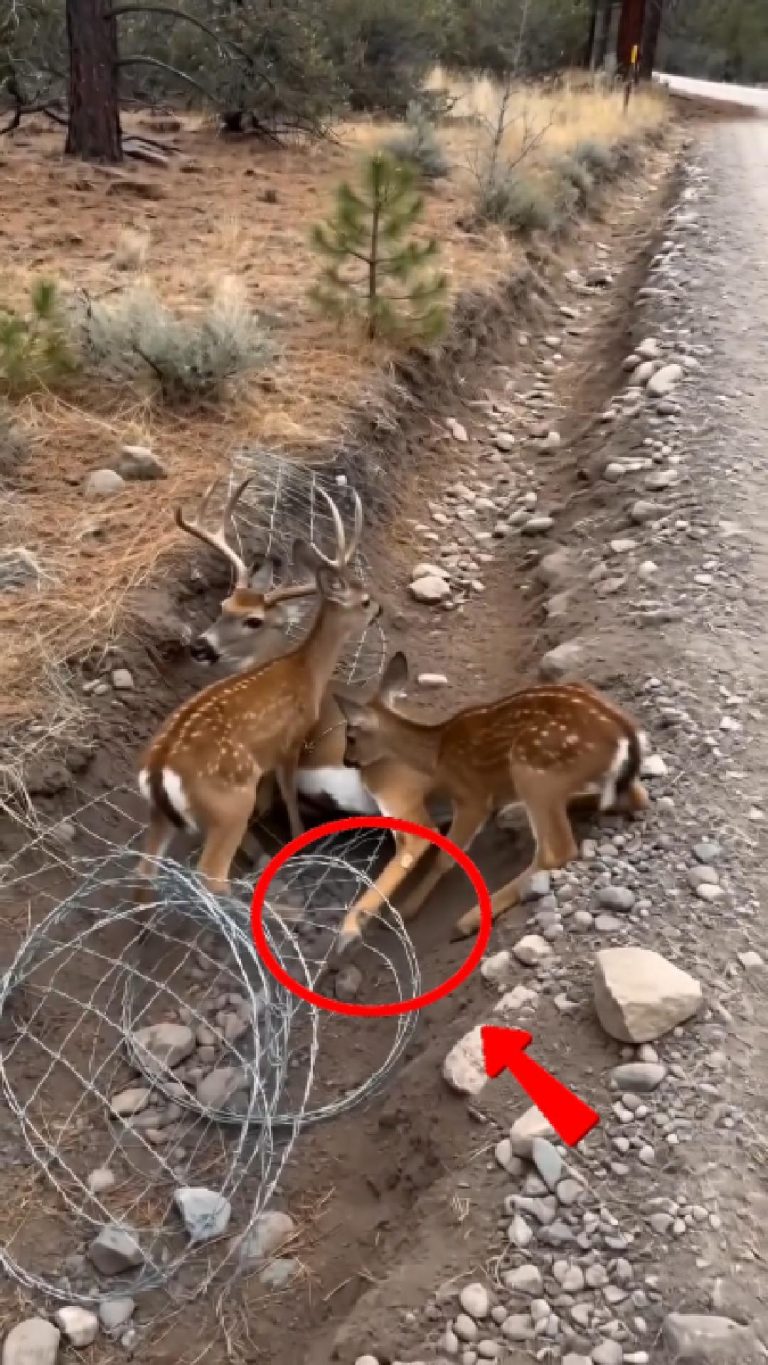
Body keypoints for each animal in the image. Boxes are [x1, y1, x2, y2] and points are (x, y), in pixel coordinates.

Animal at [136, 483, 379, 896]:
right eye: (362, 600)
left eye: (228, 606)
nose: (377, 609)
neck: (303, 671)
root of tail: (158, 773)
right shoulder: (290, 741)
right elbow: (290, 798)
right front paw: (298, 840)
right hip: (231, 805)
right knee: (211, 874)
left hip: (159, 816)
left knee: (143, 873)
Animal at [332, 651, 650, 948]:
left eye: (351, 736)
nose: (347, 760)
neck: (436, 755)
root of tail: (625, 738)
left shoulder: (472, 796)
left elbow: (446, 855)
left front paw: (408, 910)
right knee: (636, 797)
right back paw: (513, 814)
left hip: (533, 770)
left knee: (556, 851)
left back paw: (467, 920)